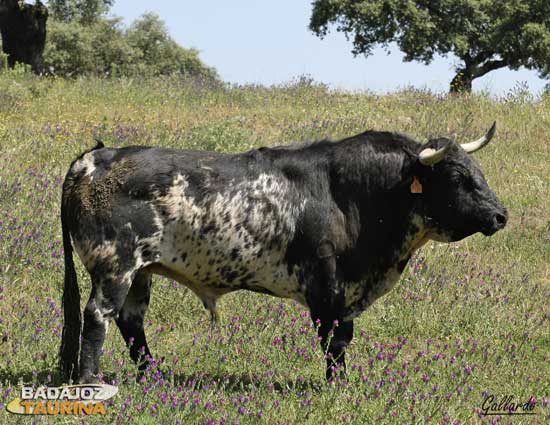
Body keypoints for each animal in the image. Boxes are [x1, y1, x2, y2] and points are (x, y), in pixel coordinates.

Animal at [59, 121, 508, 380]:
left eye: (479, 171)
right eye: (457, 177)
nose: (500, 215)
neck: (354, 195)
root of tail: (95, 157)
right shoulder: (326, 286)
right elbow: (335, 339)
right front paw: (338, 386)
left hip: (142, 271)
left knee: (131, 322)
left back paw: (153, 376)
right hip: (115, 266)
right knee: (98, 317)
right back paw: (90, 380)